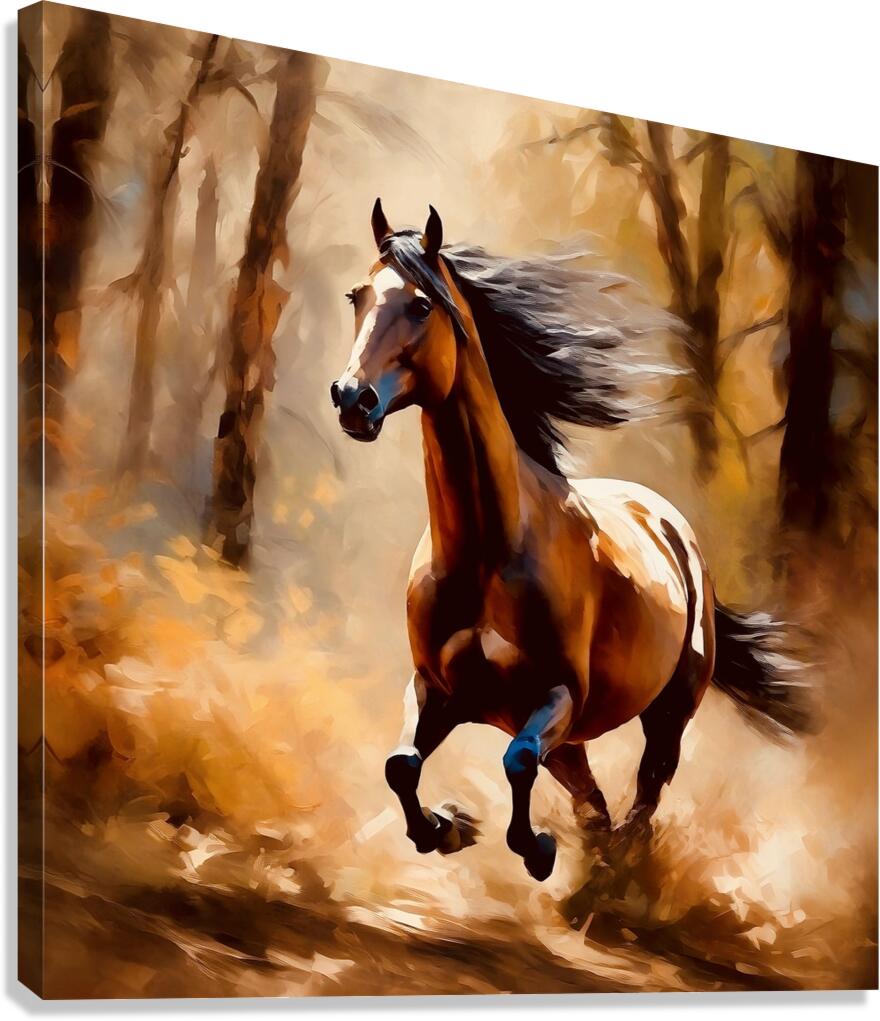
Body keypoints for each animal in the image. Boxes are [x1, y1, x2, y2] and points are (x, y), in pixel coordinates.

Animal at [330, 199, 811, 881]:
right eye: (357, 295)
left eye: (421, 306)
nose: (352, 399)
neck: (486, 553)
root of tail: (674, 525)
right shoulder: (437, 689)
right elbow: (401, 766)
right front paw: (448, 828)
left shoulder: (558, 697)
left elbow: (516, 762)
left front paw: (535, 849)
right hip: (576, 739)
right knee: (594, 799)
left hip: (669, 709)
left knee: (645, 790)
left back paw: (619, 867)